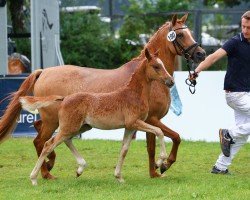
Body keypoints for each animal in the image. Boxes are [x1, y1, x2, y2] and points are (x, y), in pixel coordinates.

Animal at [20, 48, 174, 186]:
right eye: (156, 66)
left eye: (163, 64)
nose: (171, 81)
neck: (133, 94)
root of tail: (64, 99)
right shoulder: (135, 122)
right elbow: (159, 131)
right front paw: (160, 162)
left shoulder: (130, 127)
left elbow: (124, 150)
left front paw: (119, 177)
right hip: (69, 127)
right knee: (48, 144)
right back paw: (34, 178)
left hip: (81, 127)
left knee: (66, 140)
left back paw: (80, 168)